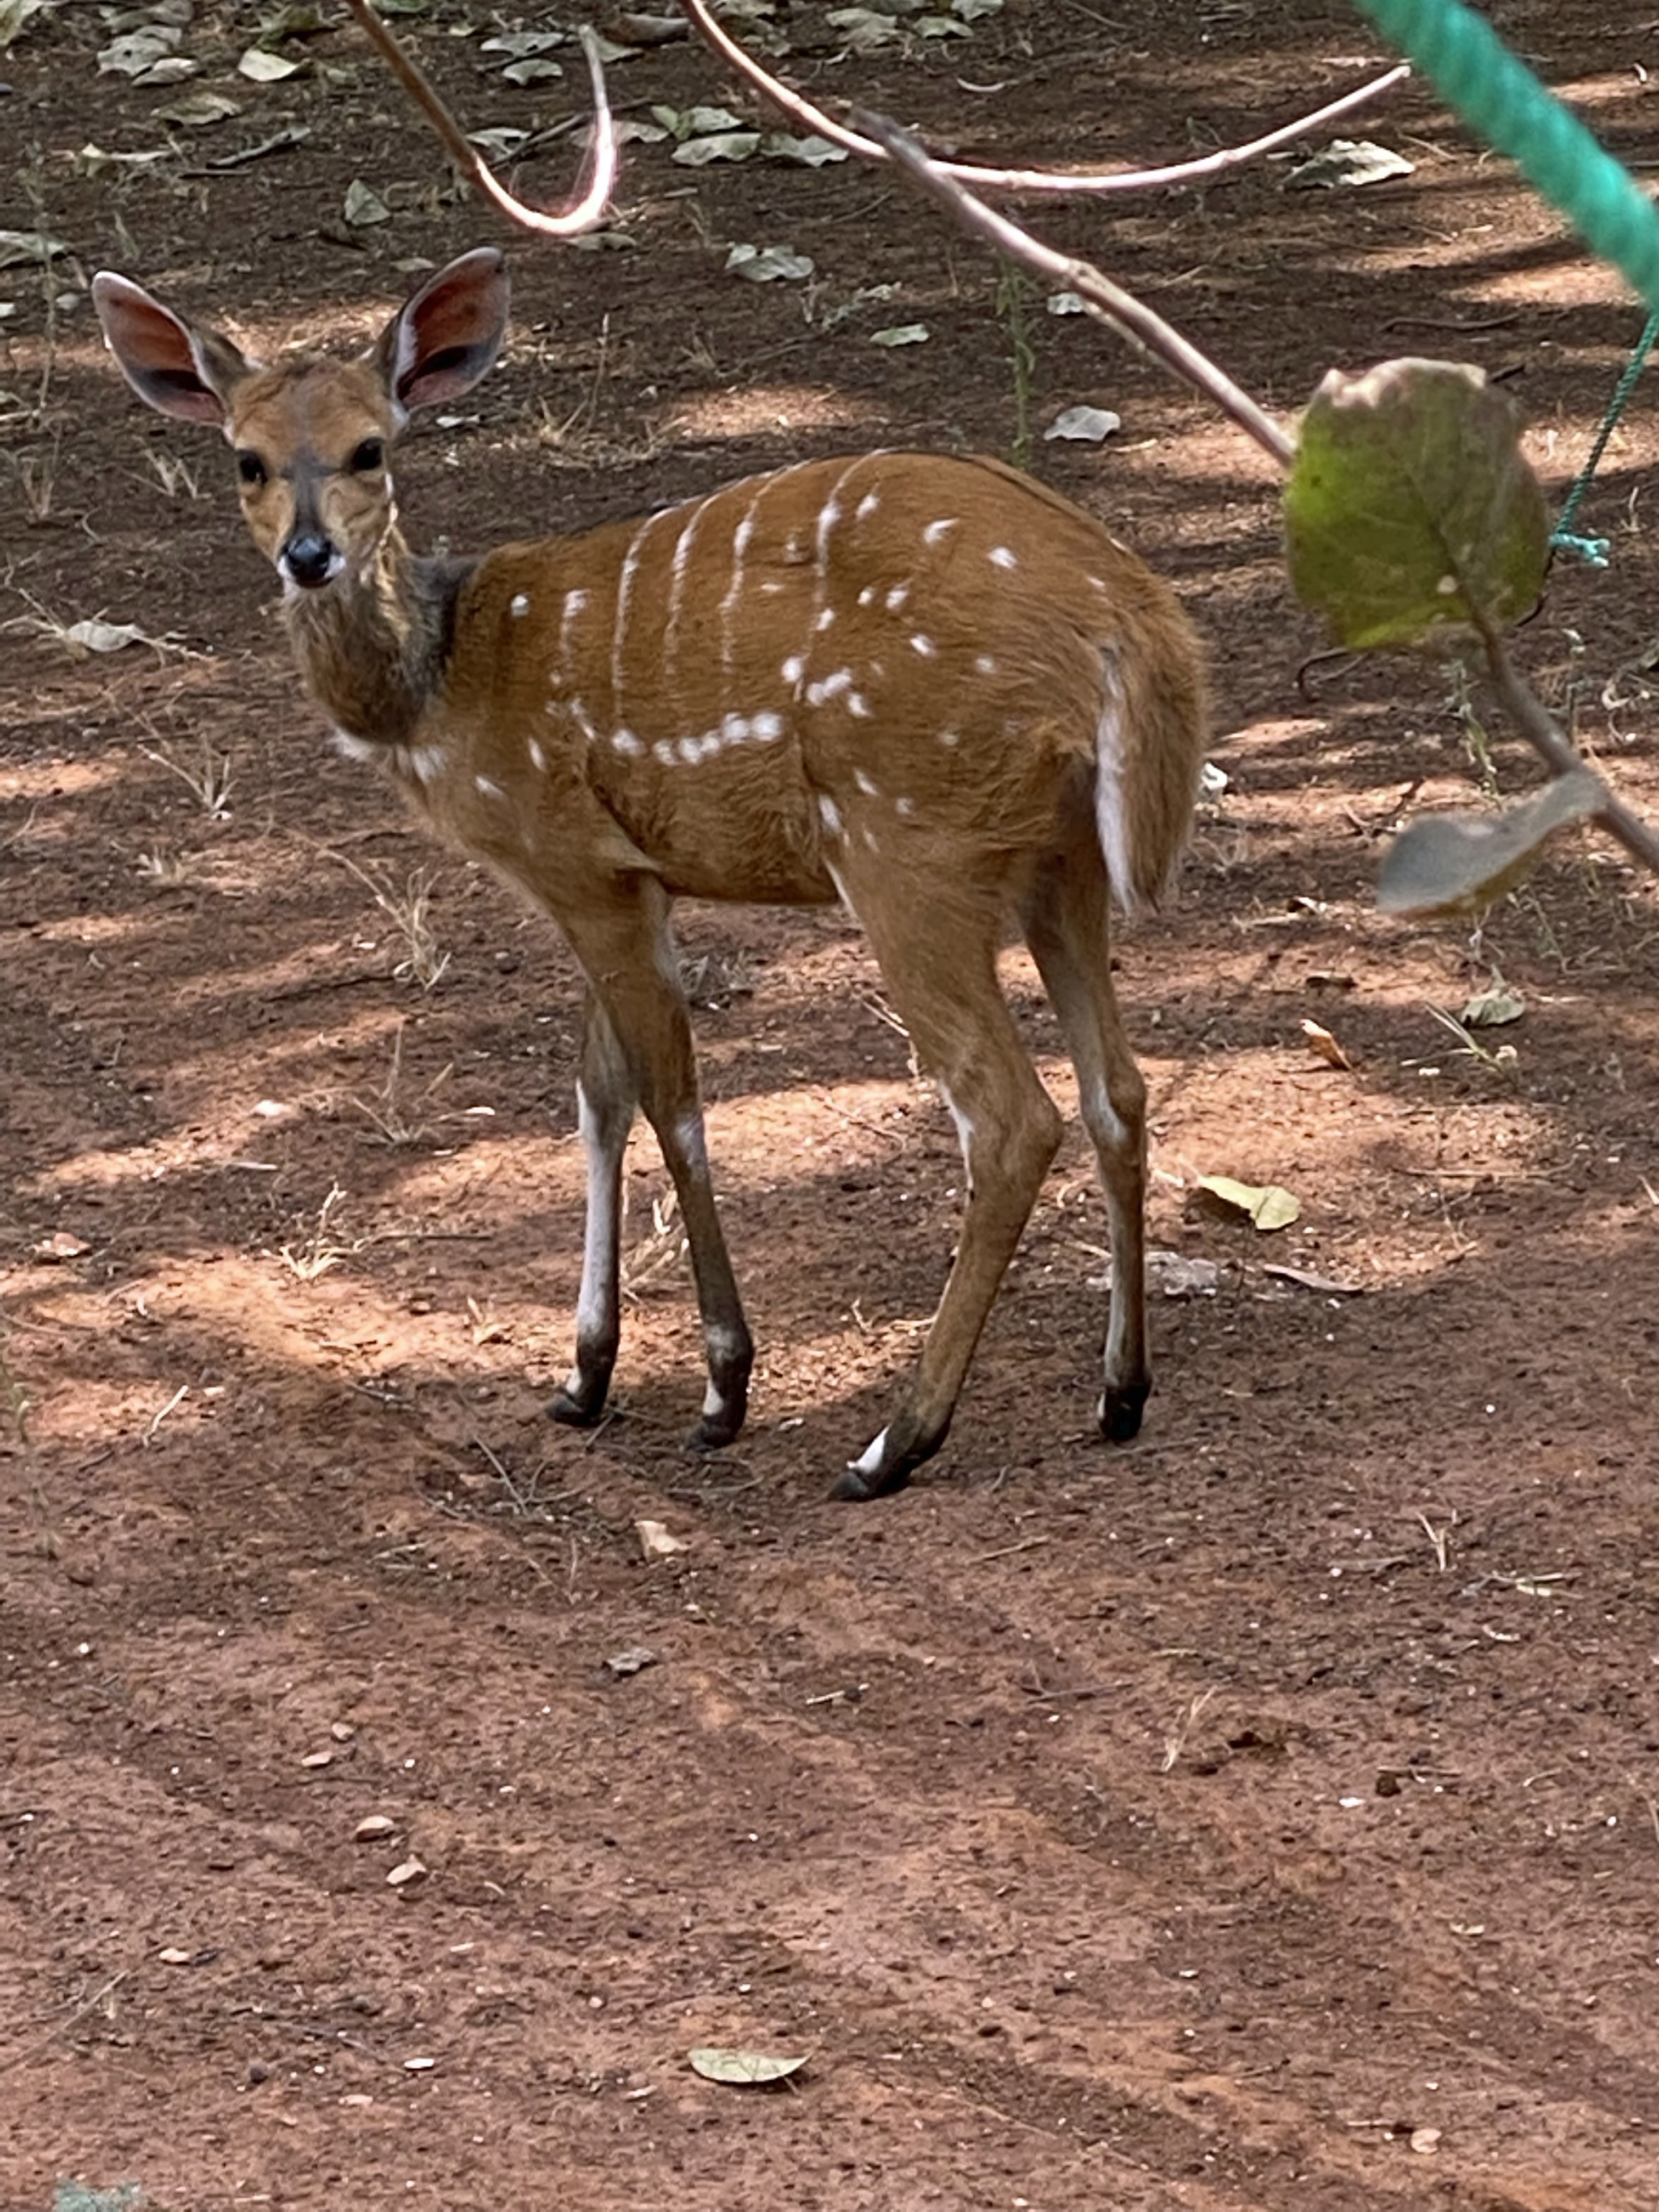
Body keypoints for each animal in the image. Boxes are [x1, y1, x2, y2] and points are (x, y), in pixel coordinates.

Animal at [91, 247, 1206, 1500]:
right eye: (249, 459)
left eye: (369, 447)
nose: (309, 555)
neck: (441, 684)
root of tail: (1131, 618)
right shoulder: (622, 880)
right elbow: (598, 1092)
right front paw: (584, 1377)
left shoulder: (578, 864)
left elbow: (672, 1101)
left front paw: (722, 1389)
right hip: (1059, 862)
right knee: (1119, 1090)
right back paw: (1119, 1392)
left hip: (903, 843)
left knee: (1010, 1118)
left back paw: (892, 1442)